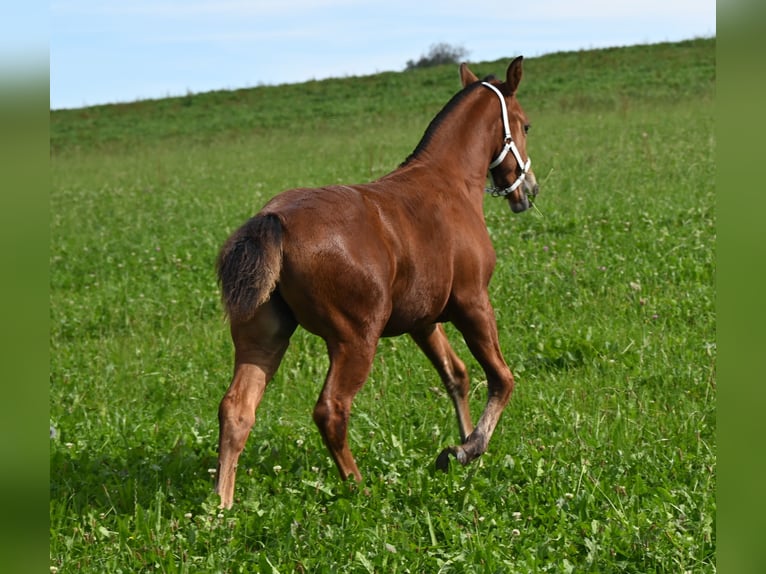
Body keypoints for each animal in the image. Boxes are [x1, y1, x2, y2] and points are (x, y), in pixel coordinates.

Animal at [216, 57, 540, 508]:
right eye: (526, 125)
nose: (529, 189)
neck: (449, 183)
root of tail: (274, 219)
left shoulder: (424, 321)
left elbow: (455, 375)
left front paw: (461, 448)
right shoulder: (473, 302)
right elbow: (501, 378)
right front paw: (468, 448)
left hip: (263, 336)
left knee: (236, 409)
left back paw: (221, 507)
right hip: (355, 340)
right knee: (331, 409)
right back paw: (359, 486)